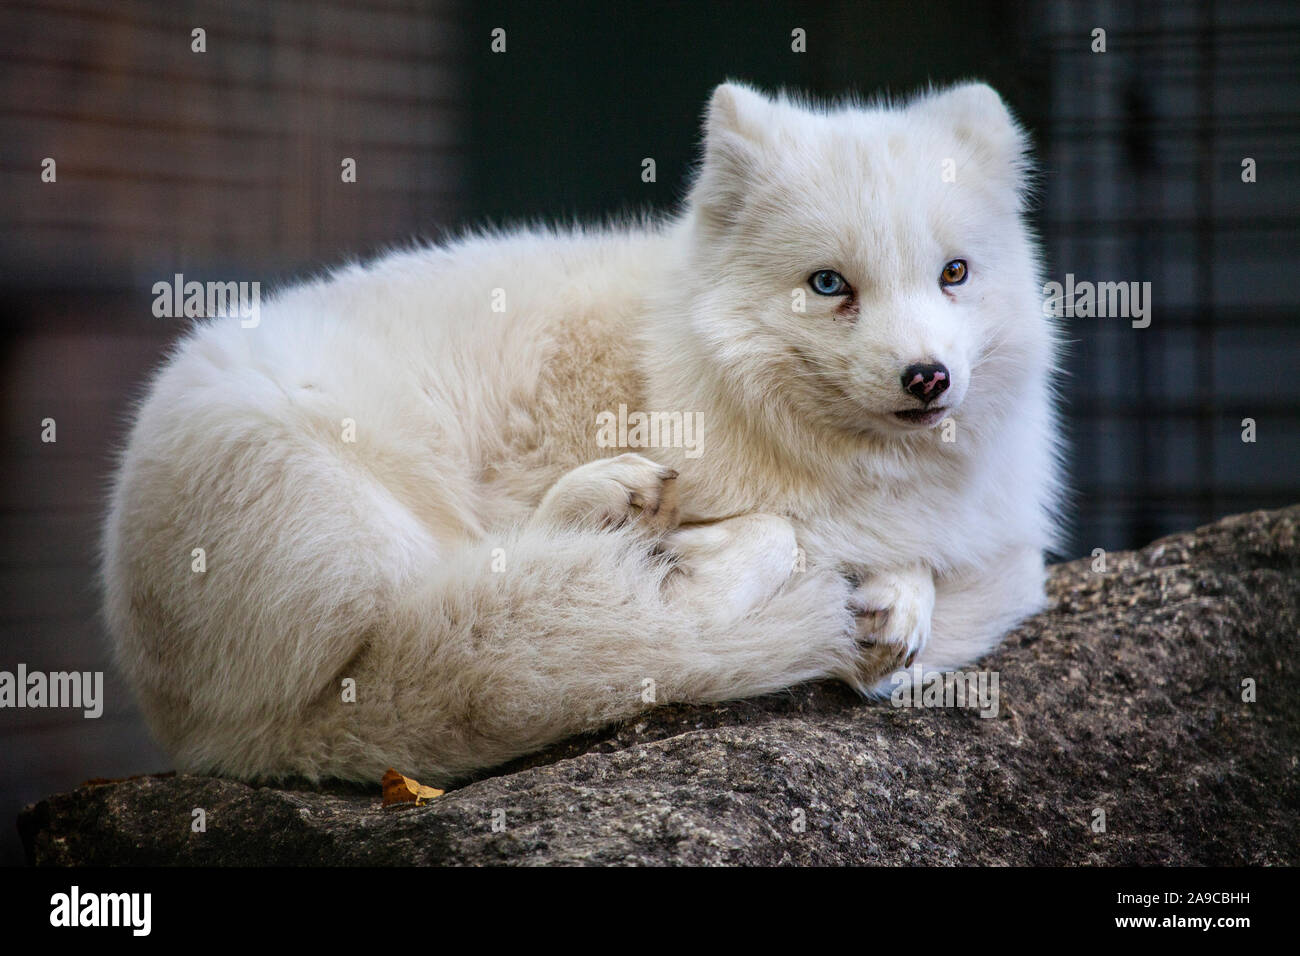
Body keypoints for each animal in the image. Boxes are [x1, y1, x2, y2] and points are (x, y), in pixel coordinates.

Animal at [102, 81, 1063, 785]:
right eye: (829, 285)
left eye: (954, 274)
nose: (927, 377)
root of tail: (214, 738)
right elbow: (786, 533)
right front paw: (725, 558)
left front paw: (901, 598)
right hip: (351, 499)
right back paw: (631, 527)